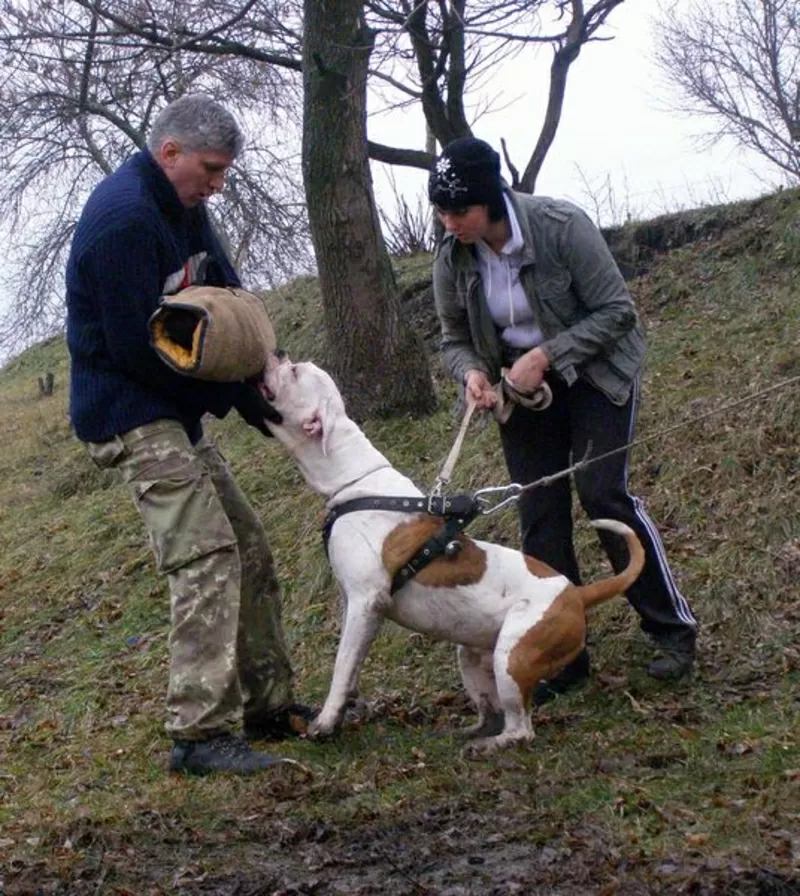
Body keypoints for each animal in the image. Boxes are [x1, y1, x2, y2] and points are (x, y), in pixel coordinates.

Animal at [260, 356, 648, 756]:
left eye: (293, 373)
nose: (280, 354)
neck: (355, 480)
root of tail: (576, 593)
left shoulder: (366, 602)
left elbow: (341, 668)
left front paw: (324, 722)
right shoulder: (354, 606)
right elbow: (351, 665)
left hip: (513, 657)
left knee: (521, 729)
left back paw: (490, 744)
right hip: (474, 657)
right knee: (493, 712)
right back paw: (469, 732)